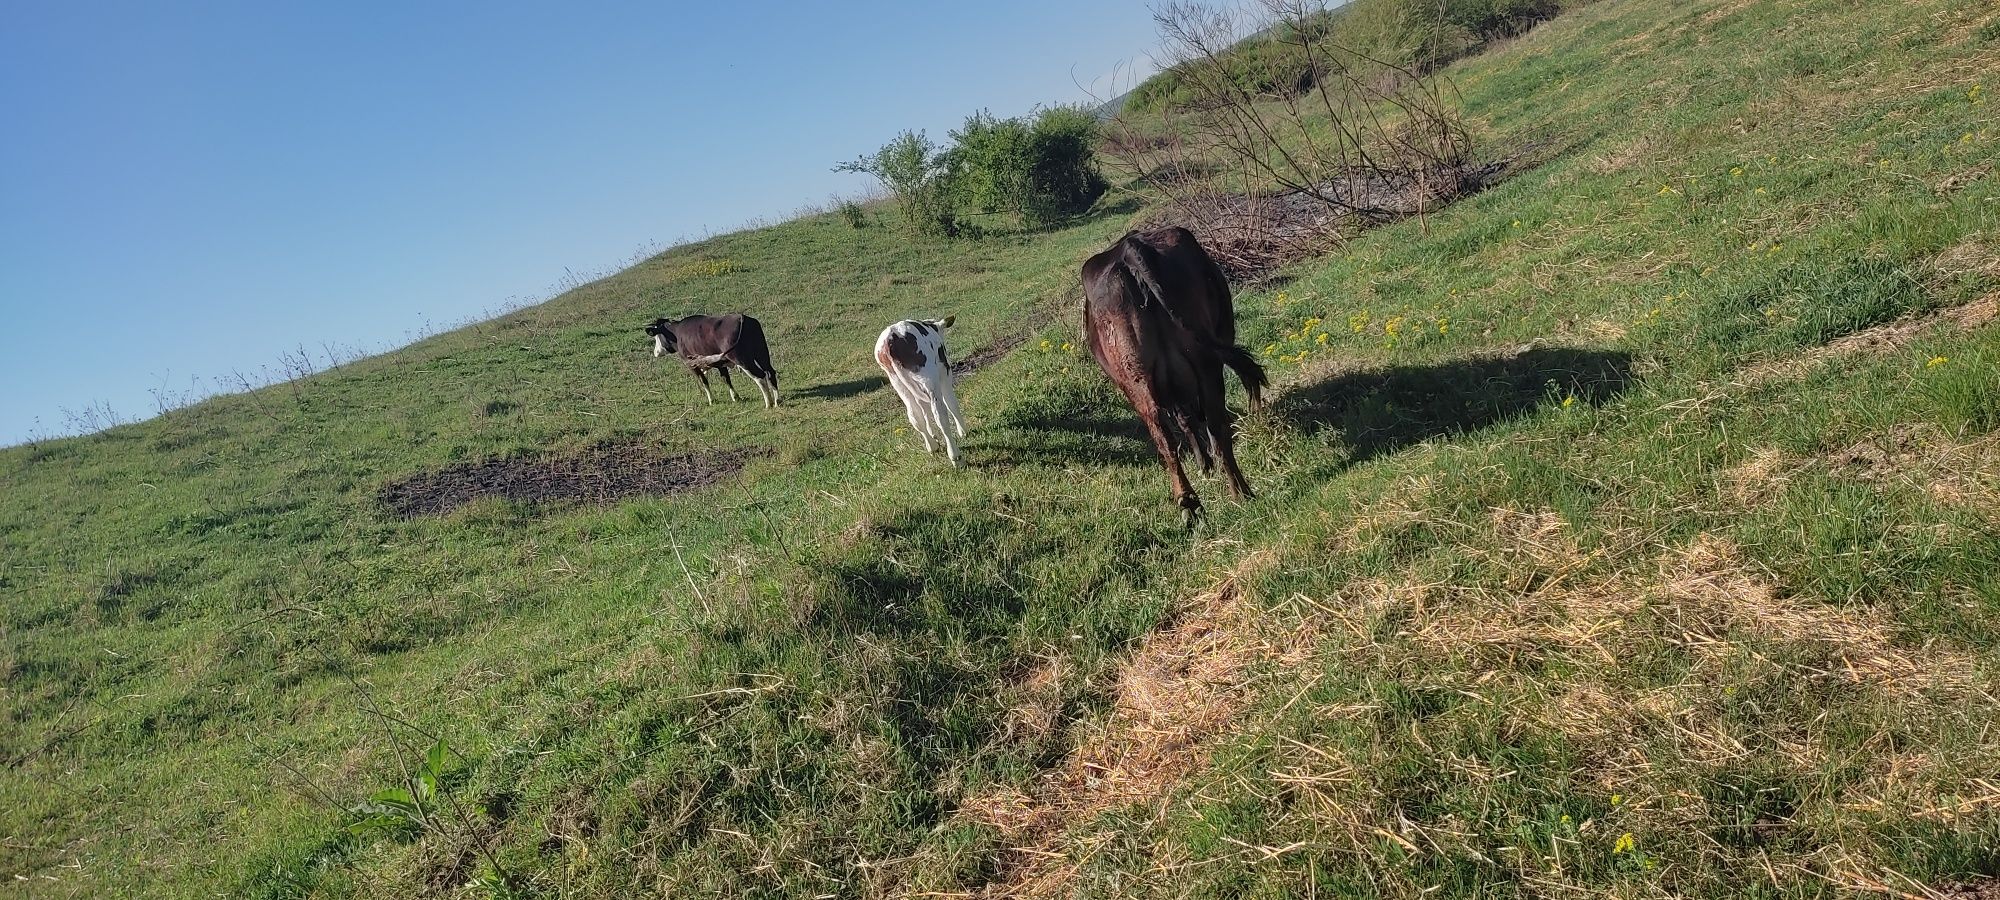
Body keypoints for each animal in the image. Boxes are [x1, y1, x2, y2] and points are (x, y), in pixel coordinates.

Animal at [640, 312, 780, 404]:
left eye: (656, 337)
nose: (656, 352)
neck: (677, 333)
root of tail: (742, 317)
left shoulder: (691, 364)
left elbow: (704, 381)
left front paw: (711, 399)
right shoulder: (720, 363)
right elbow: (726, 379)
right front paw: (735, 397)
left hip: (742, 359)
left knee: (759, 376)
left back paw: (768, 403)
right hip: (762, 353)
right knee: (770, 372)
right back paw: (777, 400)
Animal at [876, 316, 968, 468]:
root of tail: (892, 336)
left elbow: (924, 411)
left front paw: (933, 434)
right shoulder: (945, 371)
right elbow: (951, 403)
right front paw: (963, 431)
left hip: (898, 383)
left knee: (914, 415)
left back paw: (932, 446)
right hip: (929, 377)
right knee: (940, 415)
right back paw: (955, 457)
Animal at [1080, 227, 1264, 520]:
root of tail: (1130, 251)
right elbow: (1188, 419)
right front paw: (1204, 463)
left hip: (1143, 379)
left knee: (1167, 432)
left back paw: (1199, 500)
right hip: (1200, 365)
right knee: (1208, 426)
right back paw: (1233, 493)